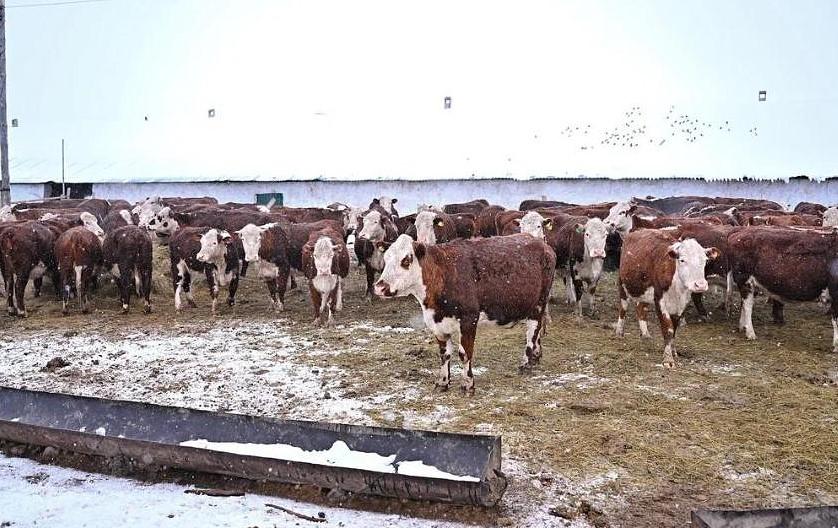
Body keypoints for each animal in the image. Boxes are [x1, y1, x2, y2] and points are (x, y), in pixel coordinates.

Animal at [374, 233, 556, 394]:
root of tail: (541, 243)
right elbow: (444, 354)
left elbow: (465, 353)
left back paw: (526, 363)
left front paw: (468, 384)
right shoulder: (437, 324)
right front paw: (442, 383)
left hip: (538, 303)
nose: (379, 287)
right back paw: (537, 355)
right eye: (386, 259)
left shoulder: (469, 319)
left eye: (406, 260)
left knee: (532, 331)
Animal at [616, 229, 720, 370]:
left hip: (644, 291)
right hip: (623, 284)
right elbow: (668, 329)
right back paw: (619, 333)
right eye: (682, 260)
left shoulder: (681, 304)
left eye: (705, 261)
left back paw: (645, 334)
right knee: (623, 308)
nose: (700, 285)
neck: (677, 286)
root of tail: (637, 231)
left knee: (641, 308)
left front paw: (674, 351)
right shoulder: (660, 300)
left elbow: (674, 329)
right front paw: (668, 359)